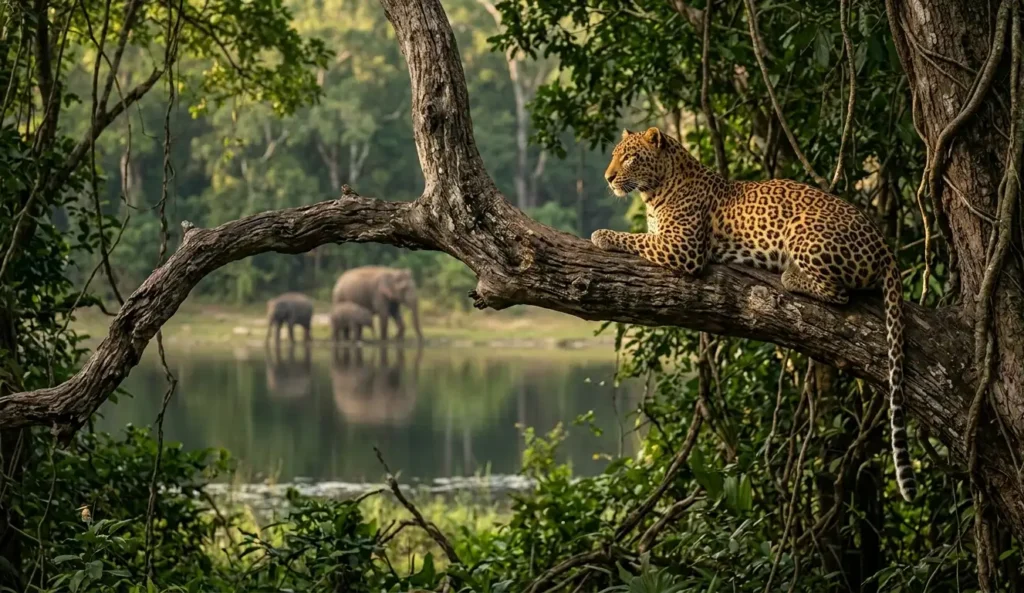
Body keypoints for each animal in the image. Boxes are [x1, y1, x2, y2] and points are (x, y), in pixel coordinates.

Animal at [591, 126, 917, 502]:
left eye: (630, 157)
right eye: (615, 155)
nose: (608, 177)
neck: (657, 190)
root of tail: (884, 245)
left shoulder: (682, 248)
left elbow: (634, 239)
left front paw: (601, 235)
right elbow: (642, 237)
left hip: (802, 228)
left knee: (839, 292)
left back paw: (790, 275)